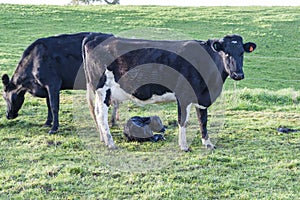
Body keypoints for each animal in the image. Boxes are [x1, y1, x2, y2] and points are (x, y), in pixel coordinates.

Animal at [82, 33, 255, 151]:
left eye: (241, 52)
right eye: (226, 52)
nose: (238, 74)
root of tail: (96, 37)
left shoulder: (202, 97)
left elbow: (203, 121)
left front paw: (208, 143)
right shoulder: (184, 96)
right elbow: (183, 121)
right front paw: (184, 146)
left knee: (96, 113)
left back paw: (104, 140)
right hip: (103, 89)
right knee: (101, 116)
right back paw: (110, 143)